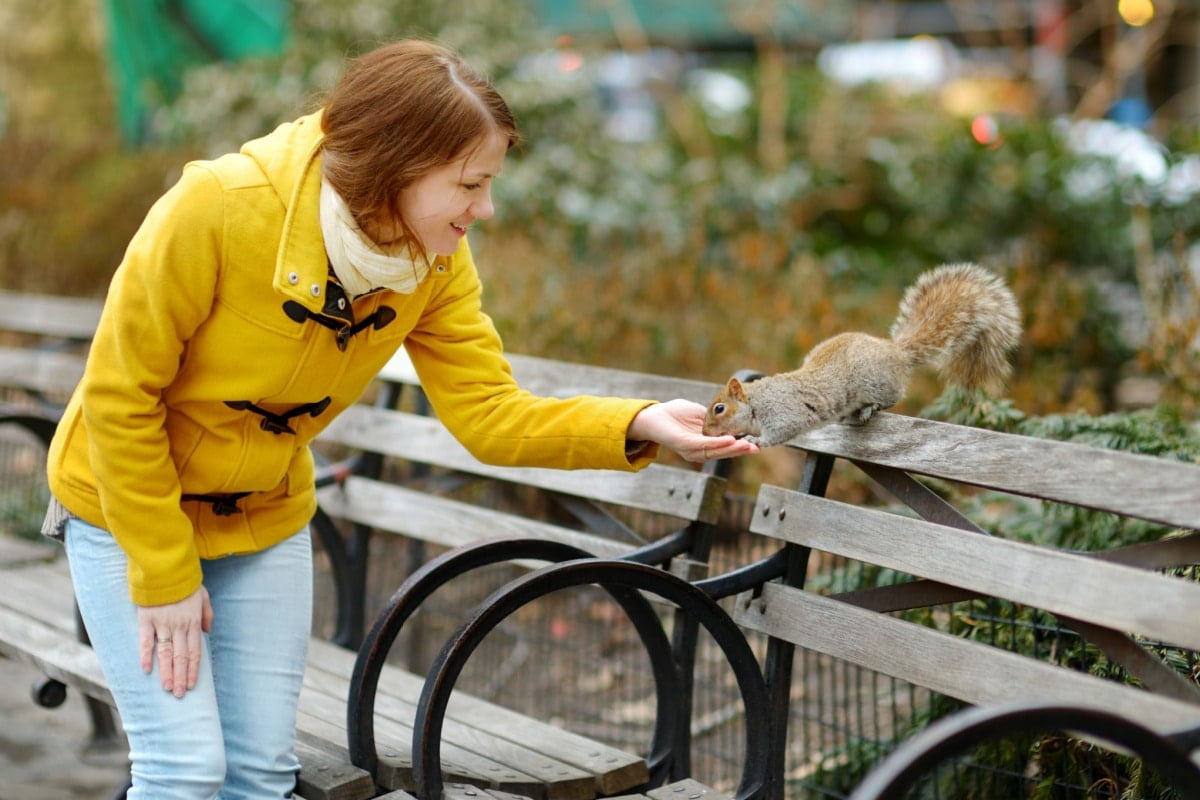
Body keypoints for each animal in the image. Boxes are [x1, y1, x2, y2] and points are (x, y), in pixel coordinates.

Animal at [700, 266, 1022, 448]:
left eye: (719, 409)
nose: (704, 431)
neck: (755, 403)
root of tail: (895, 351)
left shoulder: (784, 411)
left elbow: (782, 430)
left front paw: (756, 439)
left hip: (873, 382)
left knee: (892, 397)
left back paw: (869, 409)